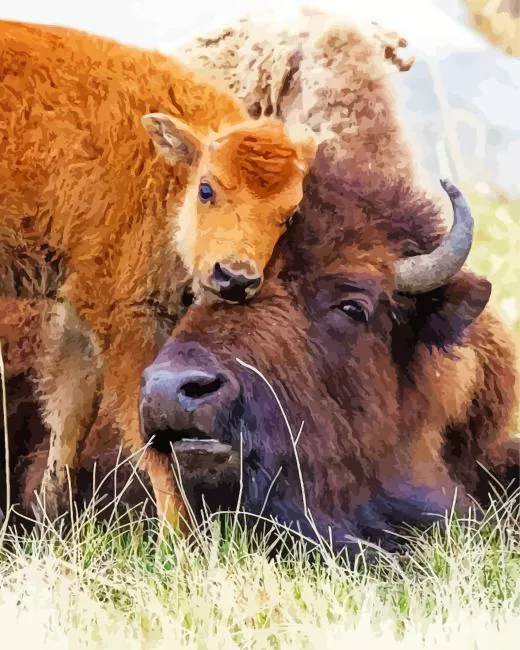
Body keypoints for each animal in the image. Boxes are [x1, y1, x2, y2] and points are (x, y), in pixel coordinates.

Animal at [0, 20, 318, 524]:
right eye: (207, 189)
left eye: (288, 217)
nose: (235, 277)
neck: (167, 171)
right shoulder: (125, 316)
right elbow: (148, 429)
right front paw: (183, 533)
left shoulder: (80, 309)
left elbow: (72, 412)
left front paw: (50, 516)